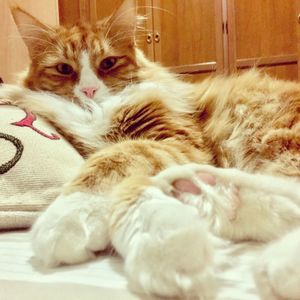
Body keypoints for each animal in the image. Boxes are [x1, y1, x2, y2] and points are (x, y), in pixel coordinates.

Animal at [0, 0, 300, 298]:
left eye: (108, 63)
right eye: (63, 69)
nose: (88, 91)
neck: (95, 113)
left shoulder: (177, 141)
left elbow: (112, 161)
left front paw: (67, 217)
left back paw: (277, 265)